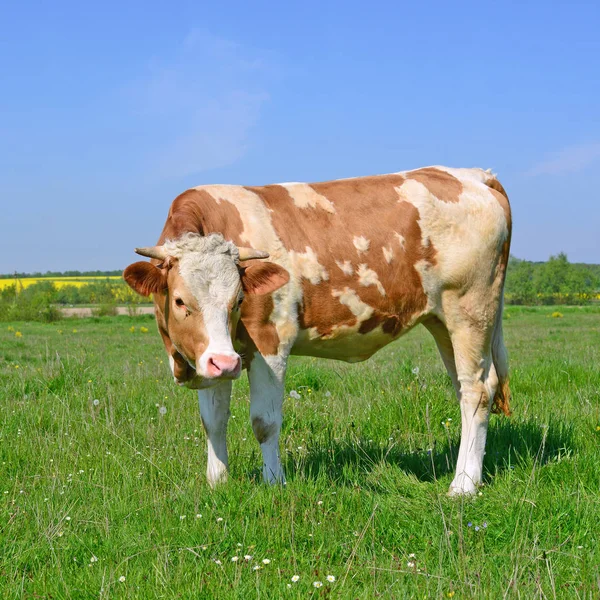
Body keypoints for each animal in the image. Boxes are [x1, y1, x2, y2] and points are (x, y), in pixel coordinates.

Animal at [125, 166, 510, 494]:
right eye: (179, 300)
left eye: (238, 300)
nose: (226, 362)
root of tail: (472, 174)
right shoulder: (215, 354)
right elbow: (213, 421)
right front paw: (217, 483)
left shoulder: (271, 340)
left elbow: (264, 421)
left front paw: (274, 483)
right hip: (442, 320)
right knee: (465, 387)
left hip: (471, 309)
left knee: (477, 390)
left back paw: (463, 486)